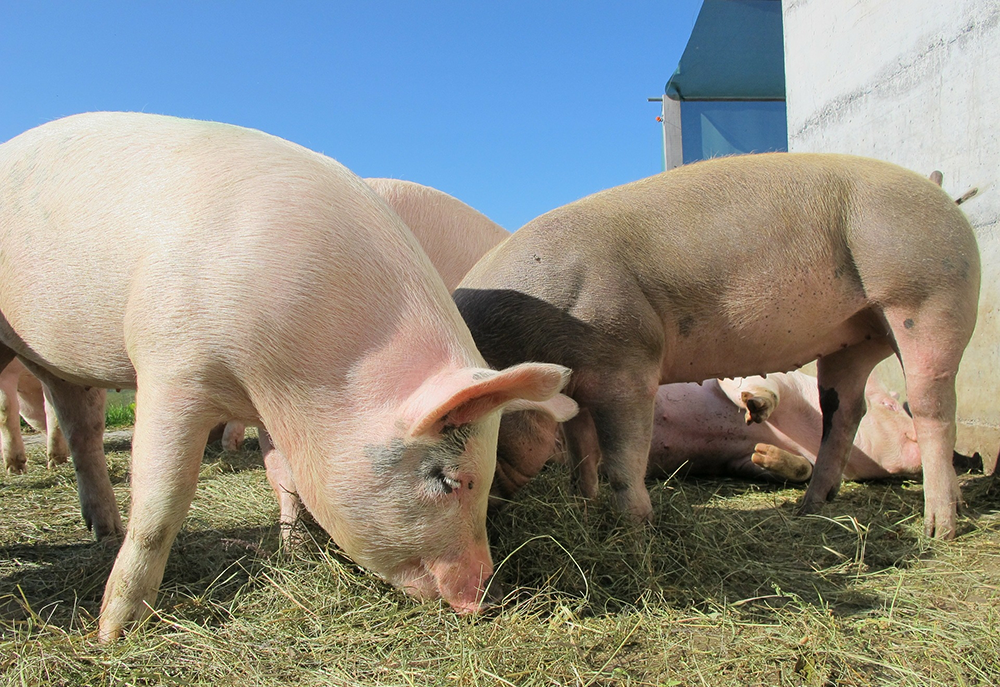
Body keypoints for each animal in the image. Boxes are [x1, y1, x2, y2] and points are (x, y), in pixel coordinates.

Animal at [0, 110, 576, 644]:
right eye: (449, 480)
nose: (485, 597)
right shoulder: (173, 365)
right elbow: (164, 500)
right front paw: (114, 632)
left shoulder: (273, 405)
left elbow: (285, 476)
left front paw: (295, 551)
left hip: (59, 367)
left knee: (82, 424)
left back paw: (102, 529)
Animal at [458, 155, 980, 544]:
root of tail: (939, 194)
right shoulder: (579, 385)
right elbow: (581, 453)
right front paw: (583, 508)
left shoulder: (626, 364)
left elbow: (623, 458)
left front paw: (636, 531)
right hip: (855, 337)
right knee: (845, 411)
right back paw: (809, 508)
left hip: (928, 297)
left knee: (935, 406)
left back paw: (940, 529)